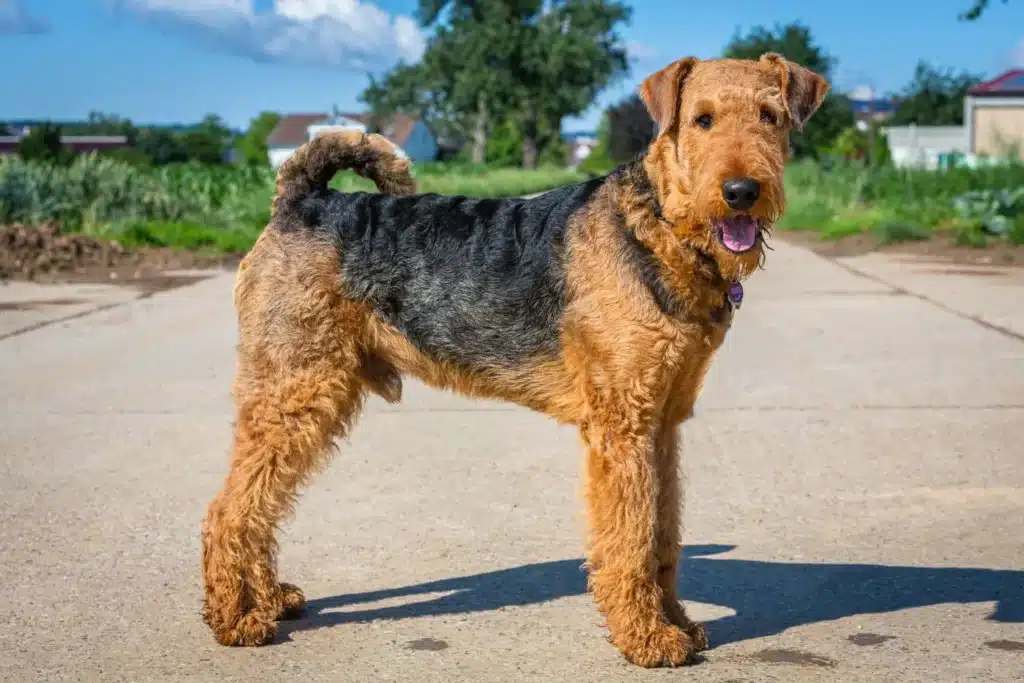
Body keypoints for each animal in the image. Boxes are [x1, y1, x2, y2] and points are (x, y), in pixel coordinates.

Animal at [201, 53, 831, 667]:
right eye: (701, 119)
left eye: (770, 117)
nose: (742, 192)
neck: (658, 226)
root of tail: (302, 198)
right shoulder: (622, 425)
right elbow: (631, 538)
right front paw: (648, 640)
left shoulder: (662, 421)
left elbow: (663, 534)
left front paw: (677, 623)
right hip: (295, 385)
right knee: (229, 509)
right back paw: (236, 619)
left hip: (306, 391)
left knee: (259, 503)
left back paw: (270, 600)